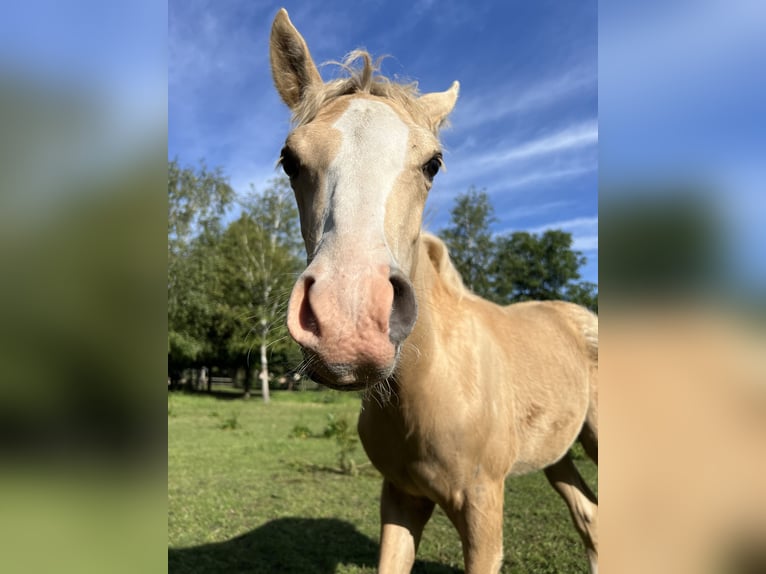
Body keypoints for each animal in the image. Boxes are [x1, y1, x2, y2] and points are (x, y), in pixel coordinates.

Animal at [270, 7, 600, 572]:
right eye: (290, 159)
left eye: (433, 163)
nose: (348, 321)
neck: (433, 384)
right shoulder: (401, 498)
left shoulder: (484, 511)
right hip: (558, 453)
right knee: (590, 520)